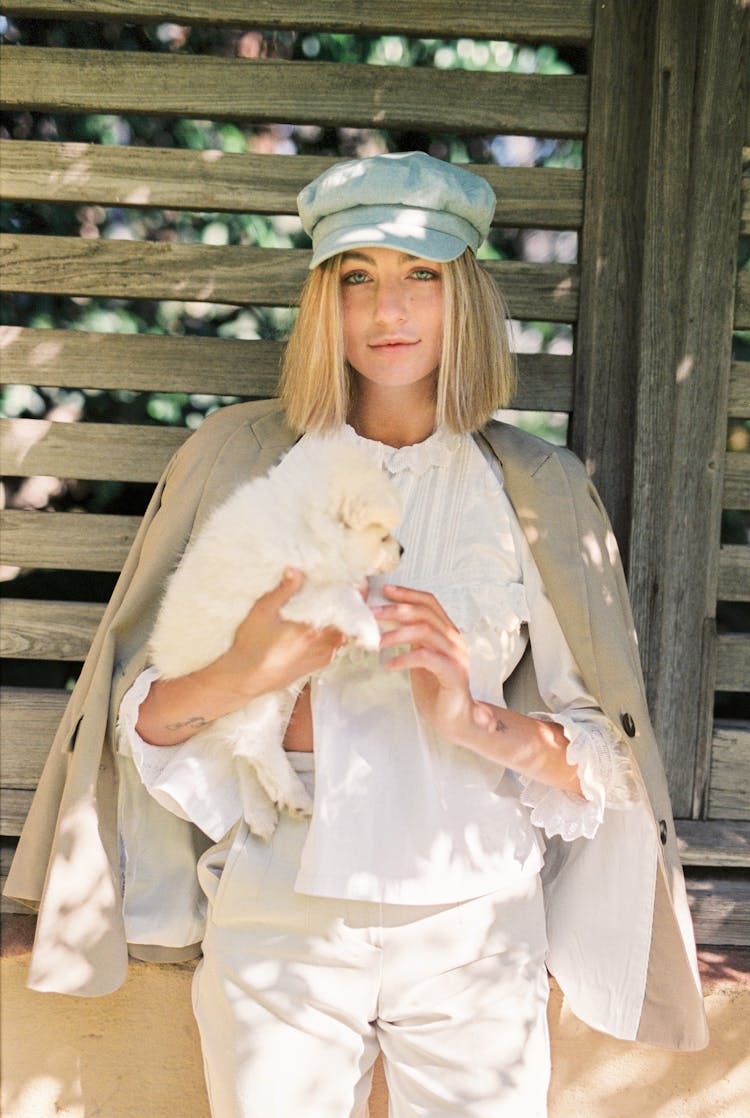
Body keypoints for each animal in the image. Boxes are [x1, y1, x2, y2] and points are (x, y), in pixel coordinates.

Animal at [148, 436, 404, 840]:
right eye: (382, 536)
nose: (402, 550)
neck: (306, 528)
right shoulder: (292, 597)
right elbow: (339, 596)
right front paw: (367, 629)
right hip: (251, 689)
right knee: (255, 745)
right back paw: (292, 796)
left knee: (245, 750)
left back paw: (261, 810)